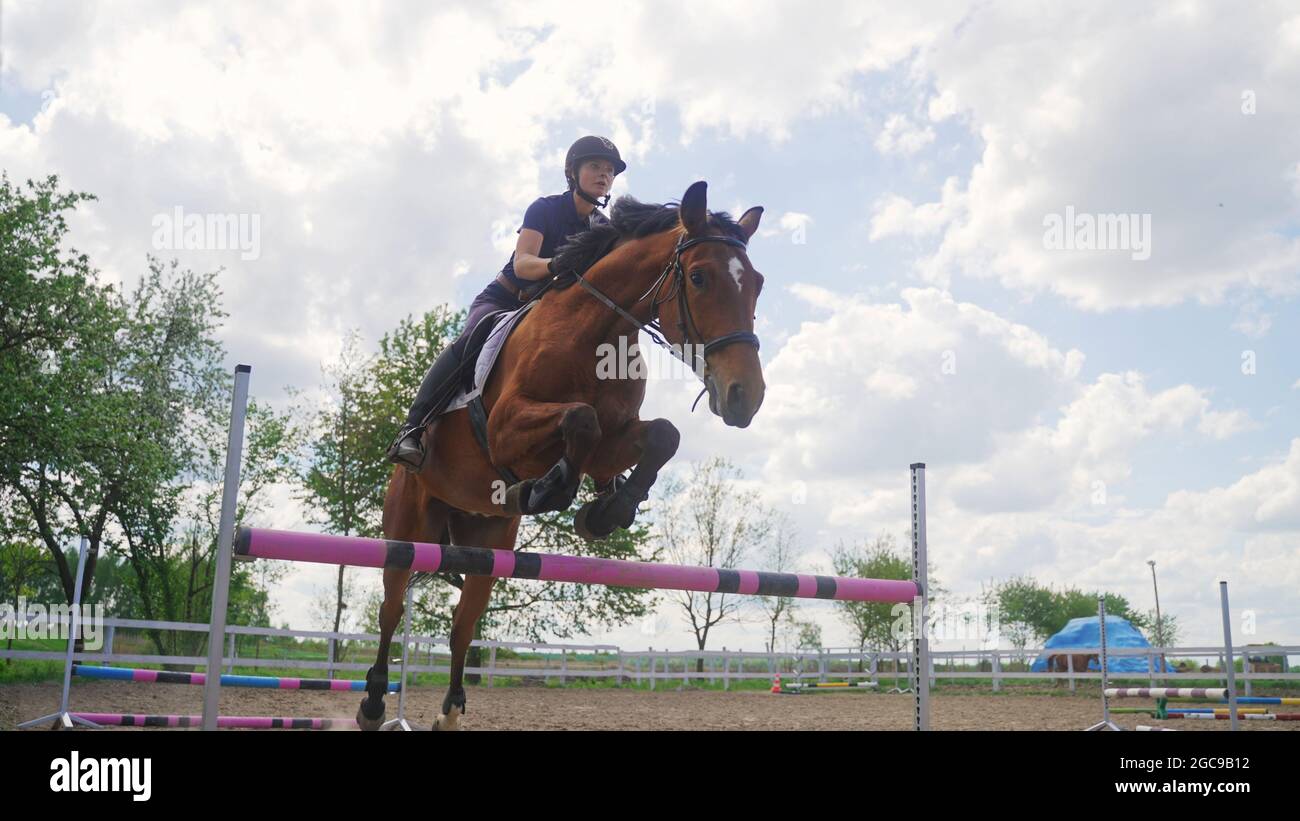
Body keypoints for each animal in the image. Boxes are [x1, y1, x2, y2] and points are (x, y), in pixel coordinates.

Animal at [359, 181, 767, 730]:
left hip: (488, 544)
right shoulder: (507, 428)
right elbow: (580, 418)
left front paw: (607, 511)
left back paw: (451, 710)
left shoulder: (612, 445)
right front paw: (548, 489)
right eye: (699, 277)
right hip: (407, 528)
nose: (747, 397)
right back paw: (374, 704)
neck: (596, 332)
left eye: (757, 284)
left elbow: (662, 436)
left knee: (463, 625)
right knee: (392, 607)